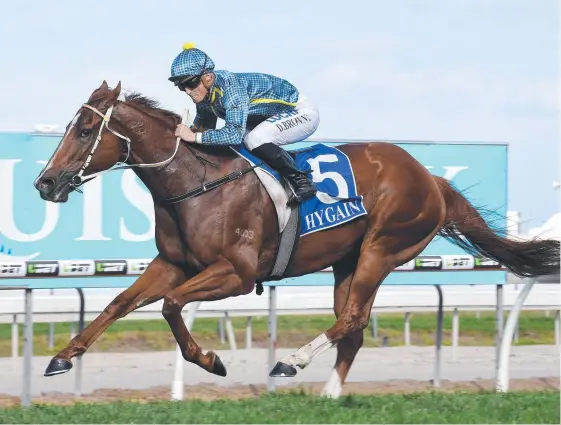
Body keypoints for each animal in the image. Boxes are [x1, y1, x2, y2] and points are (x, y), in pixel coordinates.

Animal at [34, 81, 556, 396]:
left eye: (85, 130)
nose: (45, 182)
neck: (194, 183)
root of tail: (431, 178)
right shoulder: (174, 264)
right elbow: (119, 304)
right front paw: (61, 357)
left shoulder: (238, 274)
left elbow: (171, 306)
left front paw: (211, 360)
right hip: (348, 261)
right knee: (352, 326)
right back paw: (329, 395)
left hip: (383, 248)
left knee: (352, 318)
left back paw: (291, 363)